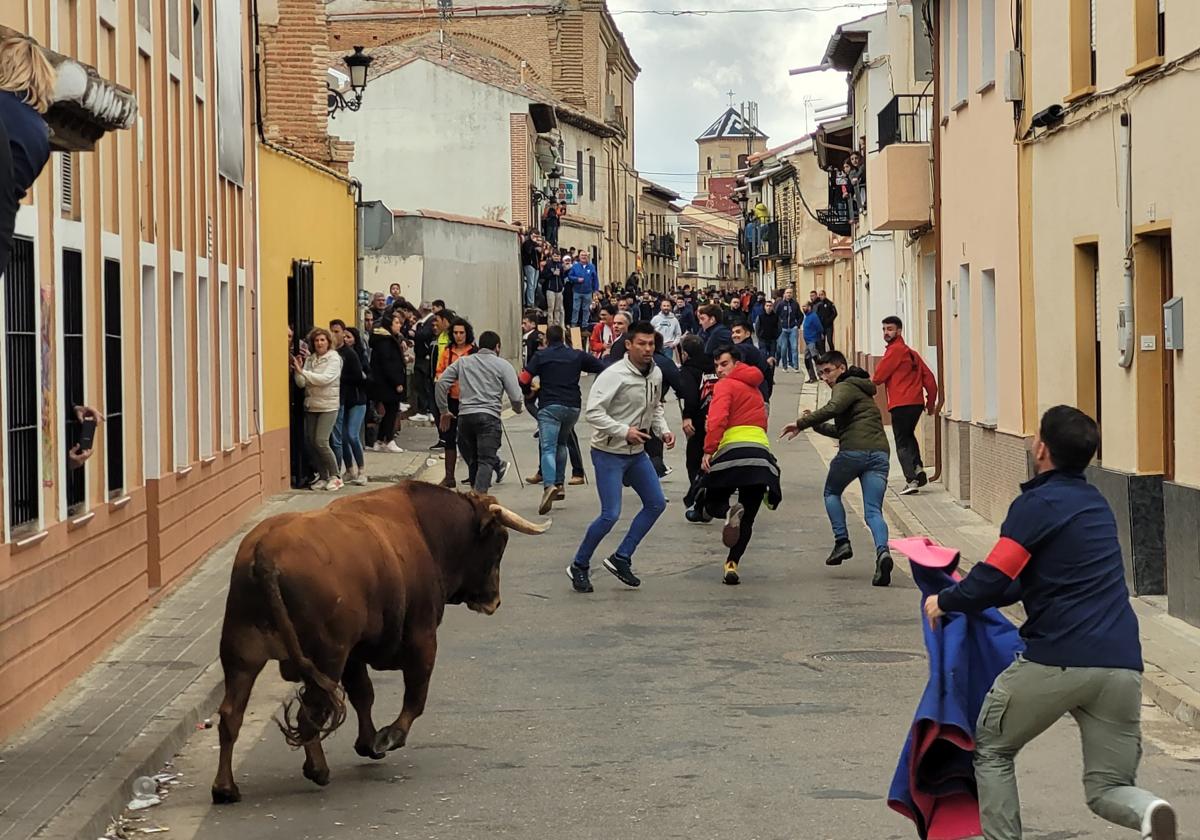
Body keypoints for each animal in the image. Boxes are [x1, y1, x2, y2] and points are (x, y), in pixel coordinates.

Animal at [208, 480, 547, 801]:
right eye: (499, 544)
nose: (494, 601)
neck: (425, 529)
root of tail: (265, 551)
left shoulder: (354, 655)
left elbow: (364, 694)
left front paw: (367, 742)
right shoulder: (422, 637)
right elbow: (415, 695)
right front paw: (388, 737)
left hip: (242, 654)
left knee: (231, 715)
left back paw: (225, 788)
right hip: (325, 657)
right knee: (310, 714)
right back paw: (317, 769)